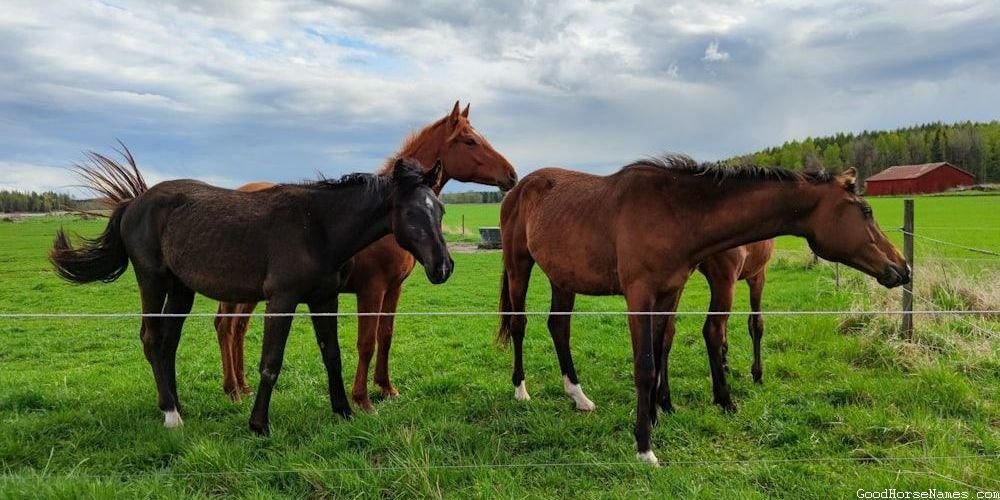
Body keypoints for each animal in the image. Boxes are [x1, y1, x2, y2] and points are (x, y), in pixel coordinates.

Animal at [50, 148, 450, 434]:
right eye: (410, 214)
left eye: (441, 210)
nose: (443, 267)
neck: (317, 227)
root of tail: (133, 203)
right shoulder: (282, 301)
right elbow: (270, 362)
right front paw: (259, 424)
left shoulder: (324, 298)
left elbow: (332, 355)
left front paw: (343, 411)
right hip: (152, 280)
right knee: (151, 339)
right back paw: (170, 415)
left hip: (181, 290)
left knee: (167, 344)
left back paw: (177, 405)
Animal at [216, 101, 520, 410]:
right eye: (470, 141)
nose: (511, 174)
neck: (386, 217)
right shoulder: (371, 290)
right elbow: (366, 342)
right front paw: (361, 399)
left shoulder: (394, 289)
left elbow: (385, 336)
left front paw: (386, 388)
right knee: (227, 326)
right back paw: (233, 389)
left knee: (236, 328)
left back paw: (242, 385)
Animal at [496, 156, 912, 464]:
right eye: (866, 211)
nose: (902, 267)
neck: (673, 211)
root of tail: (518, 188)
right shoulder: (640, 297)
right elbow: (645, 366)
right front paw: (644, 446)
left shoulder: (668, 293)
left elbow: (662, 348)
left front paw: (657, 413)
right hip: (519, 266)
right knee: (519, 325)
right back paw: (521, 390)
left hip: (562, 278)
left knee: (559, 327)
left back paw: (578, 396)